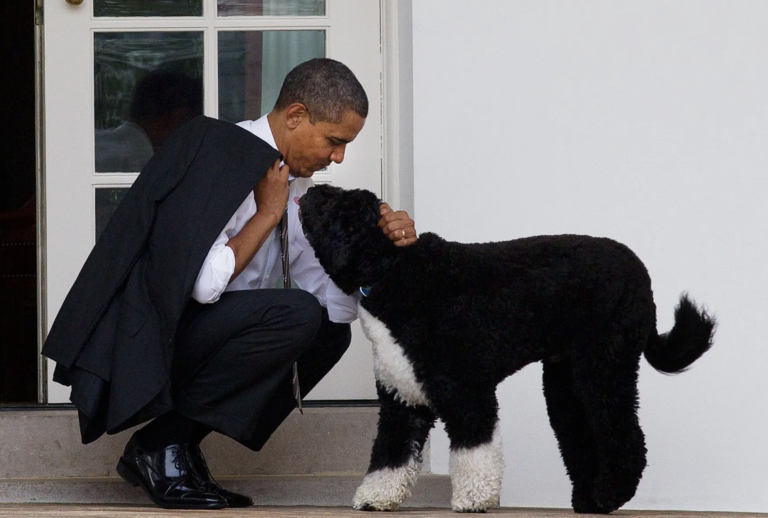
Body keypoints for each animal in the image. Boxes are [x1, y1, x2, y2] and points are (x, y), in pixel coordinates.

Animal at [298, 185, 712, 512]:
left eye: (332, 203)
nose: (310, 188)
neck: (394, 269)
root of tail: (640, 271)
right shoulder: (402, 398)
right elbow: (390, 453)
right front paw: (376, 497)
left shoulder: (466, 391)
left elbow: (475, 449)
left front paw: (474, 499)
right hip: (565, 379)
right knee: (579, 434)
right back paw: (589, 500)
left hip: (603, 362)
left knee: (623, 432)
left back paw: (611, 494)